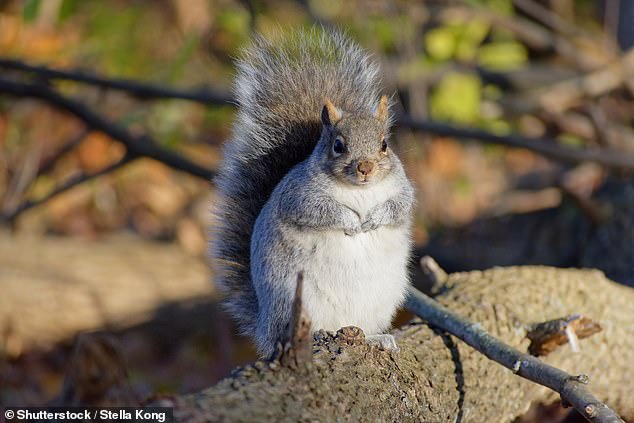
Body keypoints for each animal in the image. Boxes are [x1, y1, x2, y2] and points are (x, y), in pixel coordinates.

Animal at [210, 29, 412, 358]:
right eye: (338, 145)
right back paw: (317, 335)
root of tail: (264, 330)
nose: (366, 167)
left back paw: (377, 338)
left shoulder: (402, 187)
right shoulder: (299, 196)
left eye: (384, 144)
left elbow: (400, 207)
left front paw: (373, 219)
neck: (360, 191)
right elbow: (318, 211)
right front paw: (352, 222)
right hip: (293, 299)